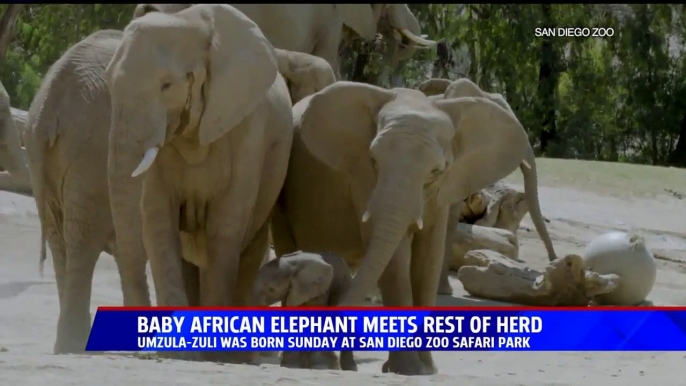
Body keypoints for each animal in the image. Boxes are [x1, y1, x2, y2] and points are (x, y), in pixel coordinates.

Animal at [272, 80, 560, 374]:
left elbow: (428, 255)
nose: (551, 262)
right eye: (374, 161)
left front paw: (427, 369)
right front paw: (409, 369)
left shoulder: (447, 184)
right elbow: (396, 255)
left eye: (435, 171)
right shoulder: (363, 179)